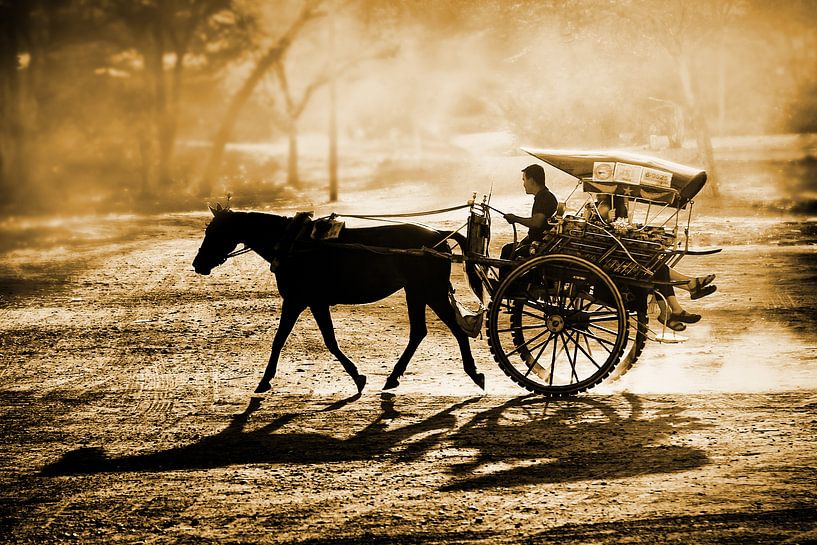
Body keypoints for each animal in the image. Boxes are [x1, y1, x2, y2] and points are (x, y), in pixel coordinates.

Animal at [191, 206, 484, 394]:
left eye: (215, 232)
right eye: (208, 229)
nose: (198, 264)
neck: (292, 244)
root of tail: (439, 236)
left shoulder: (301, 300)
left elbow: (303, 340)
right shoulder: (308, 302)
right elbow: (302, 339)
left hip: (430, 291)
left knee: (456, 329)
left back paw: (474, 372)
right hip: (416, 291)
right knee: (419, 332)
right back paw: (392, 377)